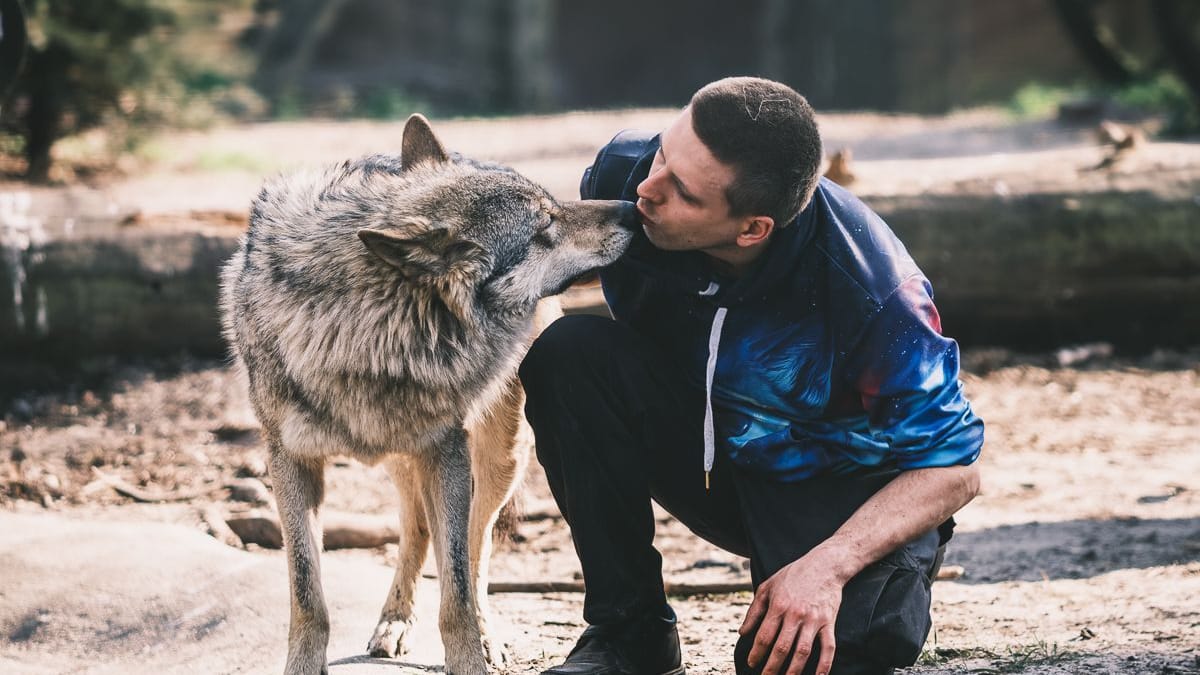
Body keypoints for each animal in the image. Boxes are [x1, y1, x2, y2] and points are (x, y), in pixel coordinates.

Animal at [220, 115, 643, 672]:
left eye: (554, 206)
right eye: (543, 229)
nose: (632, 209)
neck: (365, 333)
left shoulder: (447, 451)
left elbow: (458, 589)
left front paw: (471, 656)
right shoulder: (288, 459)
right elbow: (308, 594)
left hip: (495, 457)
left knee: (474, 545)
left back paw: (482, 634)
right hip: (401, 458)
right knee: (417, 528)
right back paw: (395, 621)